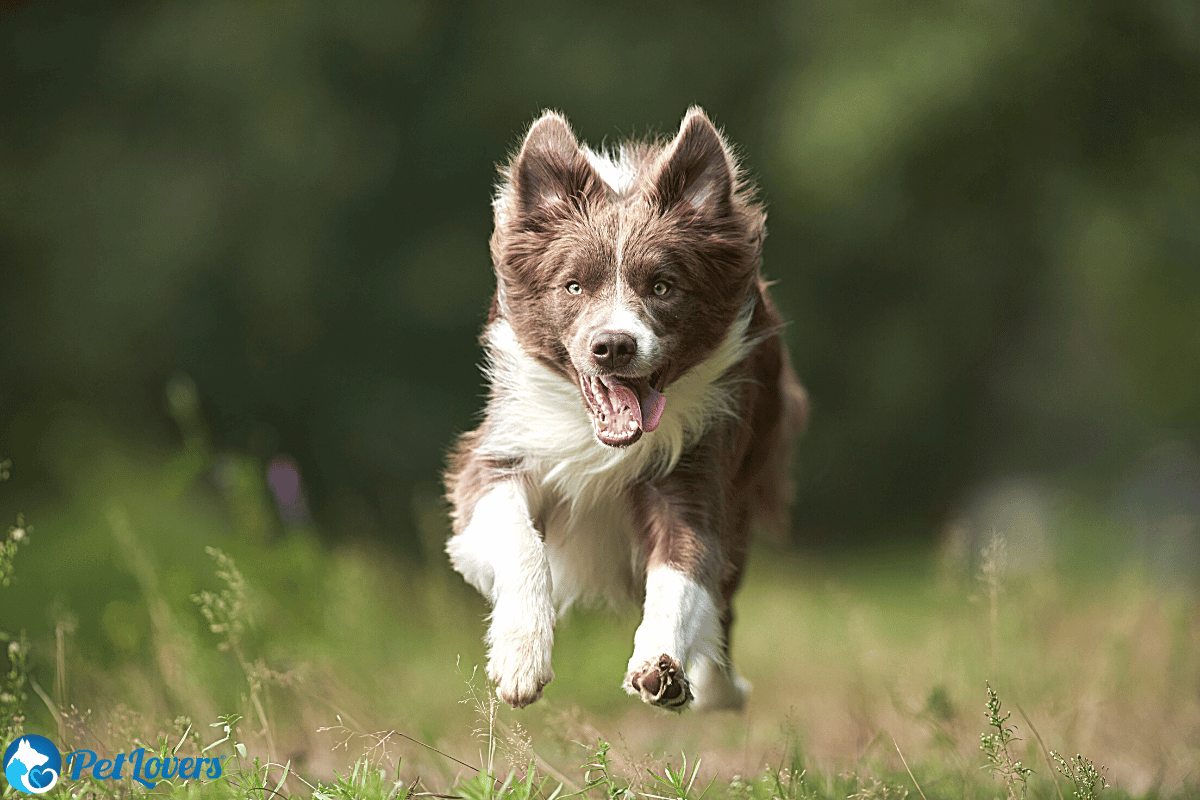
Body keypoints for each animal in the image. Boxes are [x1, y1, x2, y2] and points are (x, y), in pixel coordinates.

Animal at [444, 107, 806, 714]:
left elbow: (681, 572)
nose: (613, 346)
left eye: (662, 286)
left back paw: (720, 691)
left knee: (723, 599)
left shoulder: (696, 470)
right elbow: (522, 544)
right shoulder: (497, 455)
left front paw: (661, 665)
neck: (602, 442)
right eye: (573, 286)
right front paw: (520, 660)